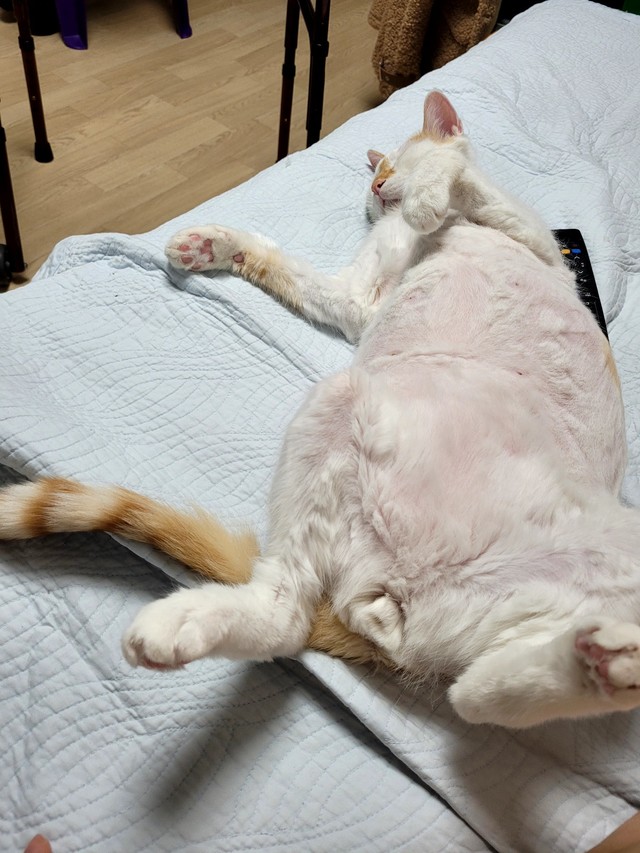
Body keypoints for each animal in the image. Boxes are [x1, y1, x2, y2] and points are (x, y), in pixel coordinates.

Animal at [1, 91, 639, 728]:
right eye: (375, 176)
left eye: (394, 164)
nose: (379, 186)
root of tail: (403, 595)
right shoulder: (358, 302)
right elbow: (285, 267)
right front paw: (209, 246)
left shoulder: (524, 233)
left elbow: (456, 174)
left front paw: (429, 195)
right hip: (340, 424)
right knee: (449, 686)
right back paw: (605, 664)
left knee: (471, 693)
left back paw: (609, 661)